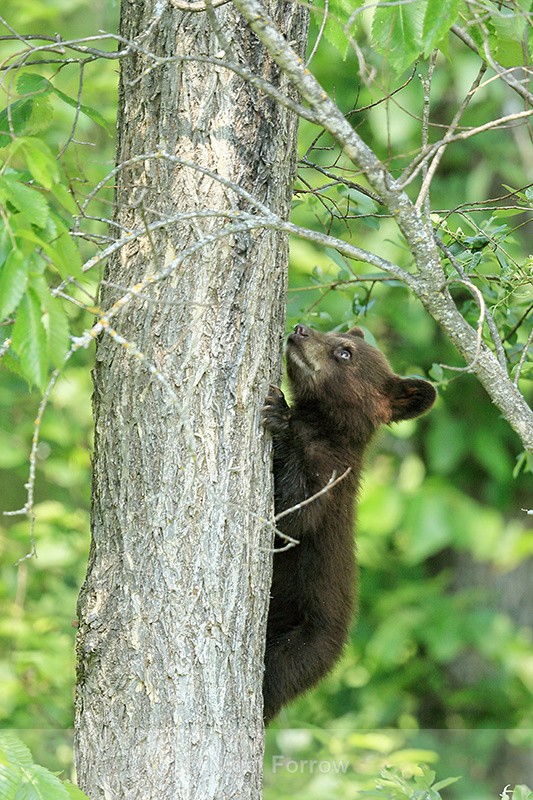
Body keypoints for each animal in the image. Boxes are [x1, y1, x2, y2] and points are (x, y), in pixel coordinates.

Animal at [262, 323, 436, 724]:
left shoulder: (329, 478)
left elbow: (292, 514)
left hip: (303, 646)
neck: (326, 430)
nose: (300, 329)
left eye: (345, 352)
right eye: (333, 331)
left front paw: (280, 415)